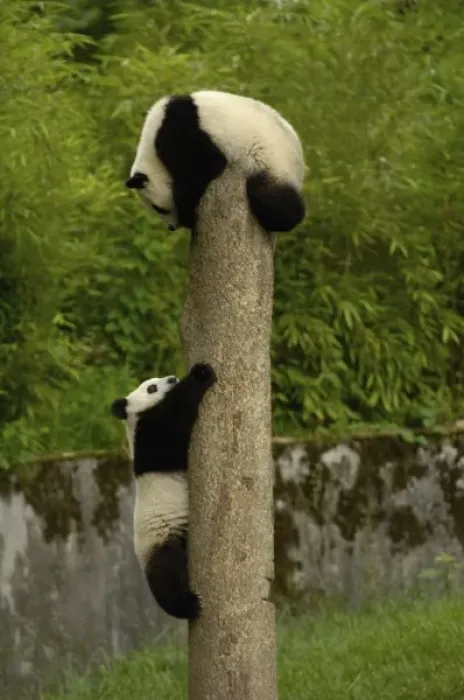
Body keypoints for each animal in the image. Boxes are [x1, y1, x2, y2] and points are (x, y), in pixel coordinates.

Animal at [110, 362, 217, 620]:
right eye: (151, 387)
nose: (171, 378)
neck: (136, 419)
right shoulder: (149, 439)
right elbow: (173, 428)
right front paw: (201, 374)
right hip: (160, 540)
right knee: (166, 576)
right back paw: (188, 605)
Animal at [126, 89, 306, 234]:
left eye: (159, 209)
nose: (171, 228)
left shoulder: (179, 134)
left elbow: (207, 165)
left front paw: (188, 216)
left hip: (272, 163)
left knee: (272, 200)